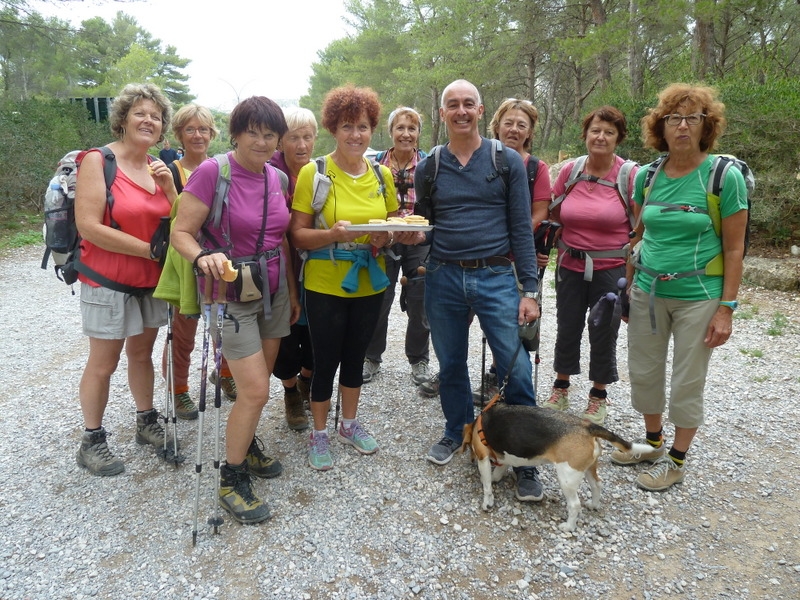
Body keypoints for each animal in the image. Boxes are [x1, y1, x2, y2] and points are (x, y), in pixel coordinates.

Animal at [461, 402, 651, 532]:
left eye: (470, 448)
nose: (471, 460)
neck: (479, 425)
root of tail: (587, 426)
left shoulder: (483, 457)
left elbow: (487, 486)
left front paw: (487, 502)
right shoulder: (507, 456)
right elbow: (500, 469)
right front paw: (496, 477)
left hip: (567, 477)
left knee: (574, 505)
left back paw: (568, 527)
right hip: (588, 468)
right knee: (597, 485)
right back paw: (594, 505)